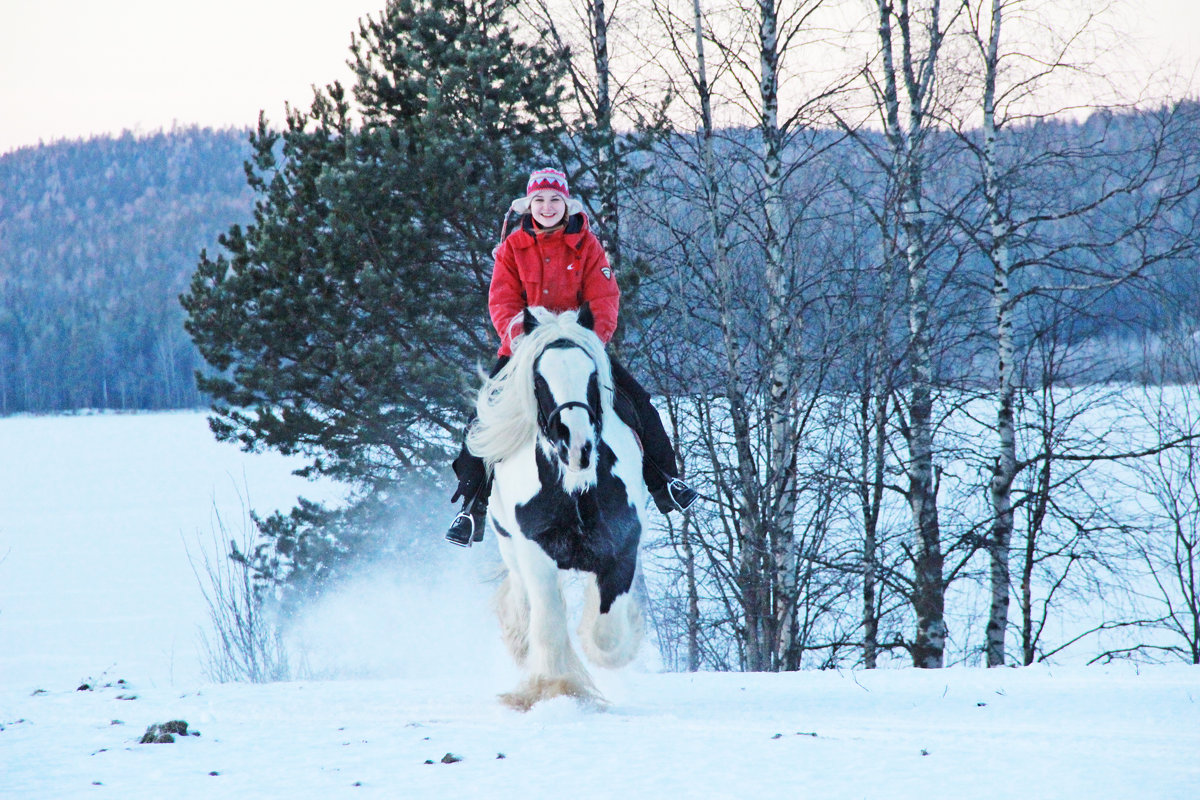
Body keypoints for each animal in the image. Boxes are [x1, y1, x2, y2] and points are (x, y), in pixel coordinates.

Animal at [465, 307, 648, 714]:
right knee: (523, 603)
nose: (576, 446)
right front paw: (554, 688)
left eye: (593, 376)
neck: (574, 486)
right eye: (539, 378)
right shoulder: (535, 551)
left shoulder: (623, 546)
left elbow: (607, 635)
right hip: (508, 544)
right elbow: (548, 623)